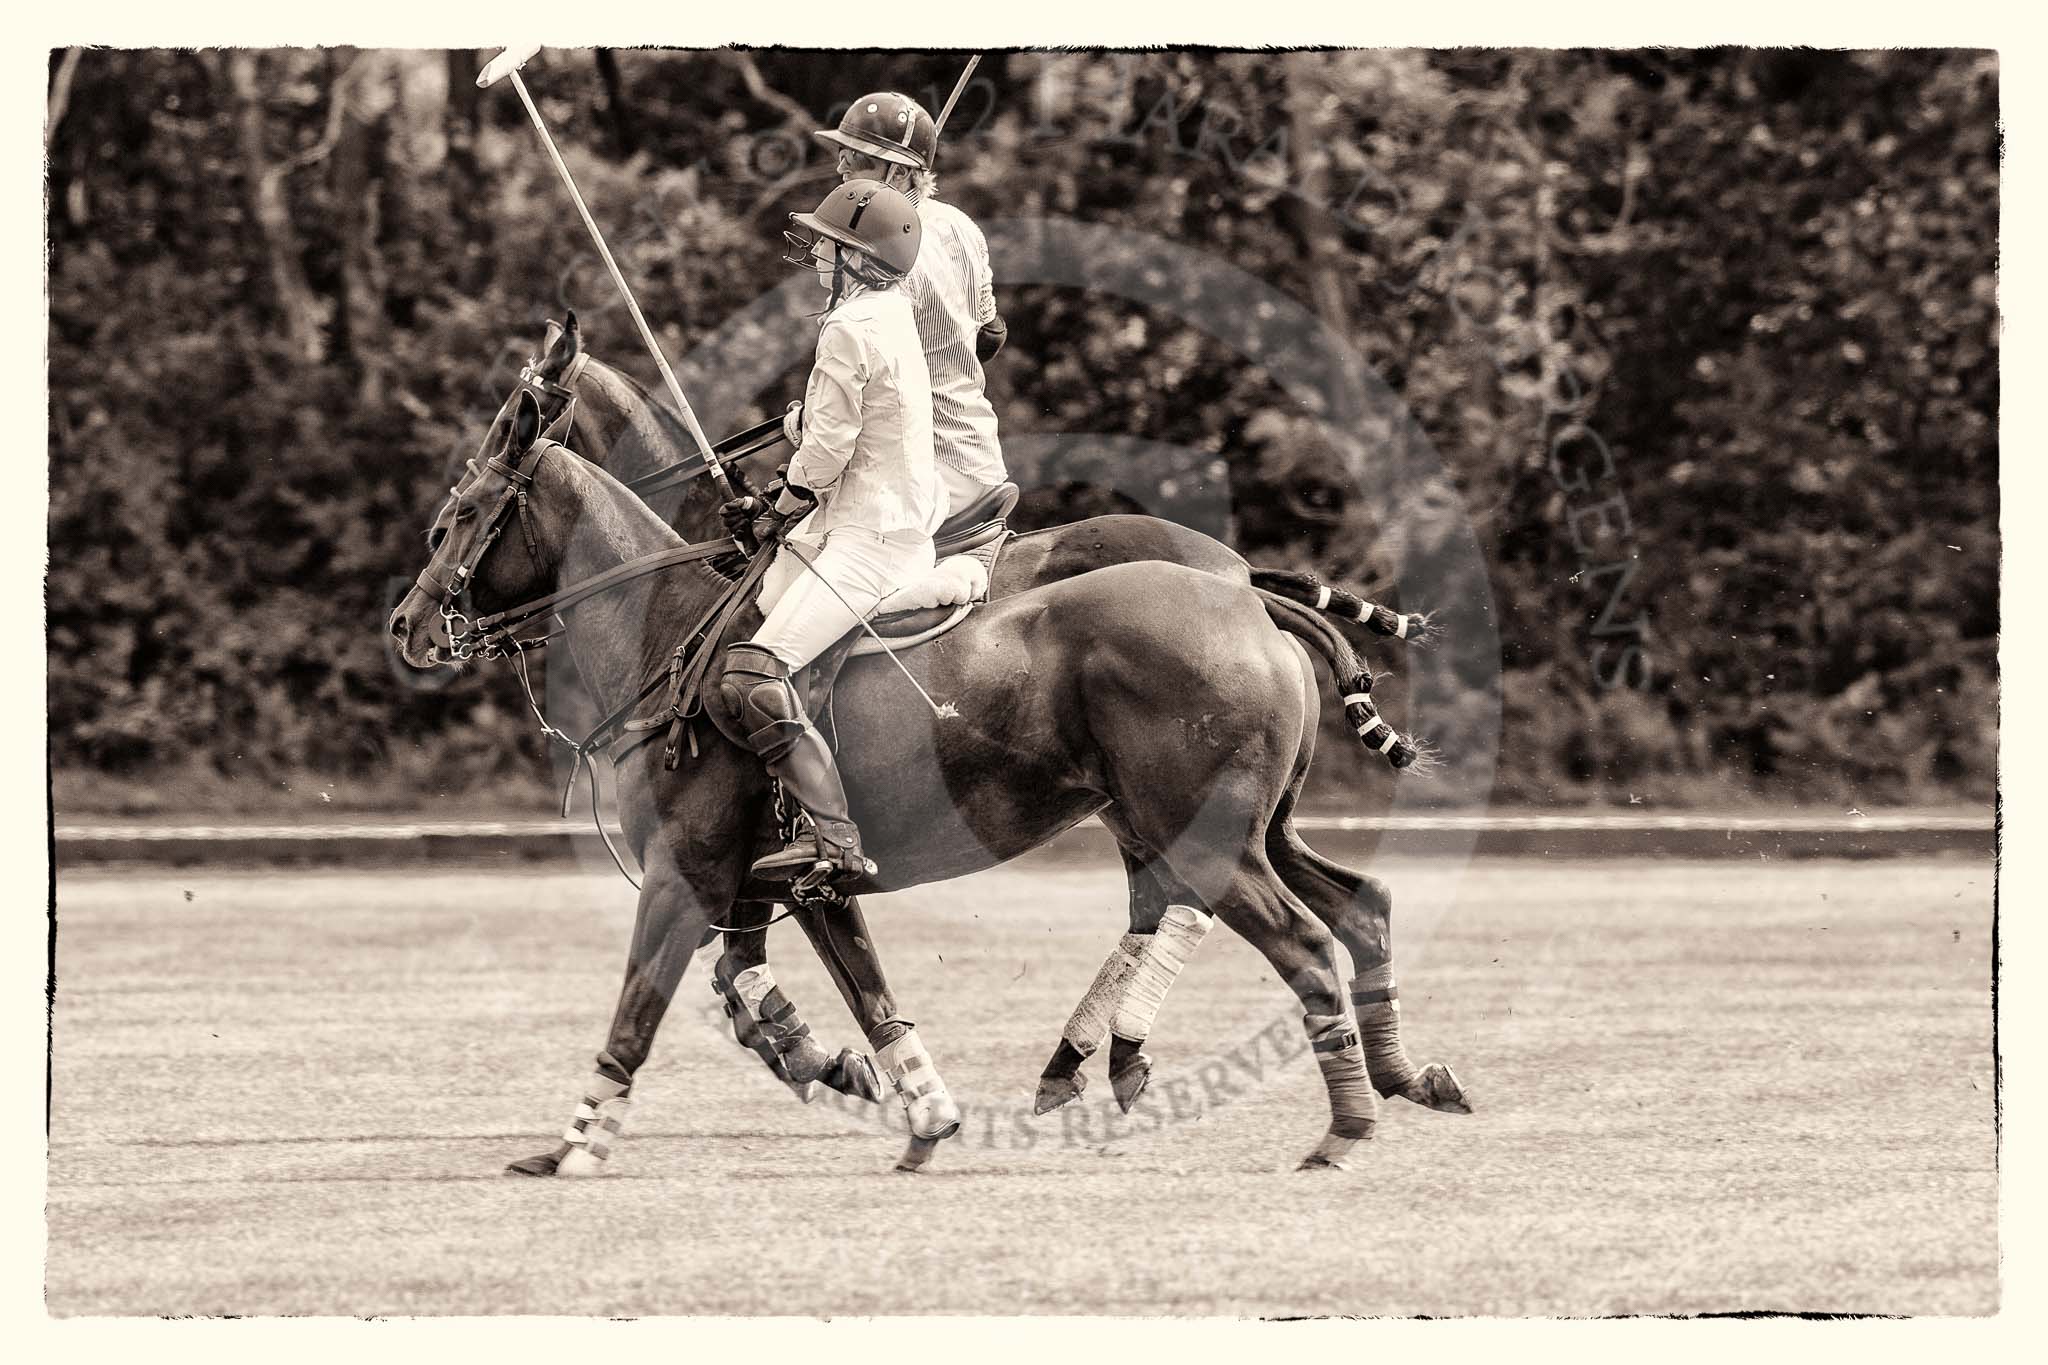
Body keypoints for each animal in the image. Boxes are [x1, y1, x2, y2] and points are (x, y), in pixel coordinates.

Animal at [391, 394, 1466, 1178]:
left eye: (457, 516)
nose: (407, 626)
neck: (666, 635)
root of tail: (1249, 600)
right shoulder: (788, 883)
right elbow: (851, 995)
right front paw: (908, 1107)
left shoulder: (683, 875)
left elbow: (638, 1011)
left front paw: (570, 1146)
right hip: (1248, 826)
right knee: (1360, 903)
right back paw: (1400, 1075)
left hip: (1196, 832)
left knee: (1290, 940)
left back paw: (1327, 1124)